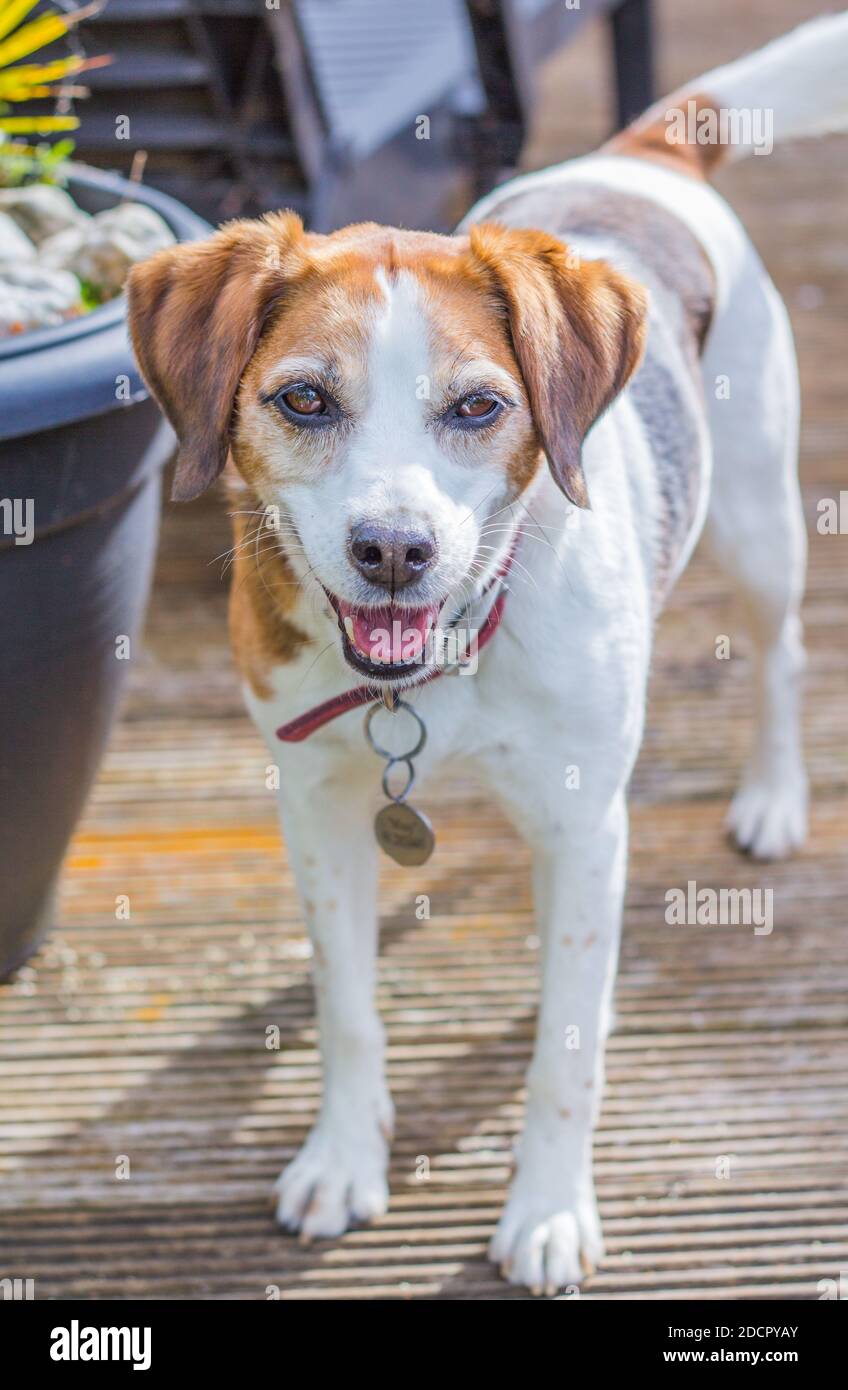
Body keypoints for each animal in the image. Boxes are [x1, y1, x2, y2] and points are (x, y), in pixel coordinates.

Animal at [127, 13, 845, 1289]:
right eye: (302, 400)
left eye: (475, 408)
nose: (393, 551)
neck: (438, 665)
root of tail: (633, 154)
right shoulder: (315, 803)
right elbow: (348, 1005)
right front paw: (343, 1155)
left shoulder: (579, 827)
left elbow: (562, 1053)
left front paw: (547, 1209)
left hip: (760, 524)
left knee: (779, 657)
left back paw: (770, 793)